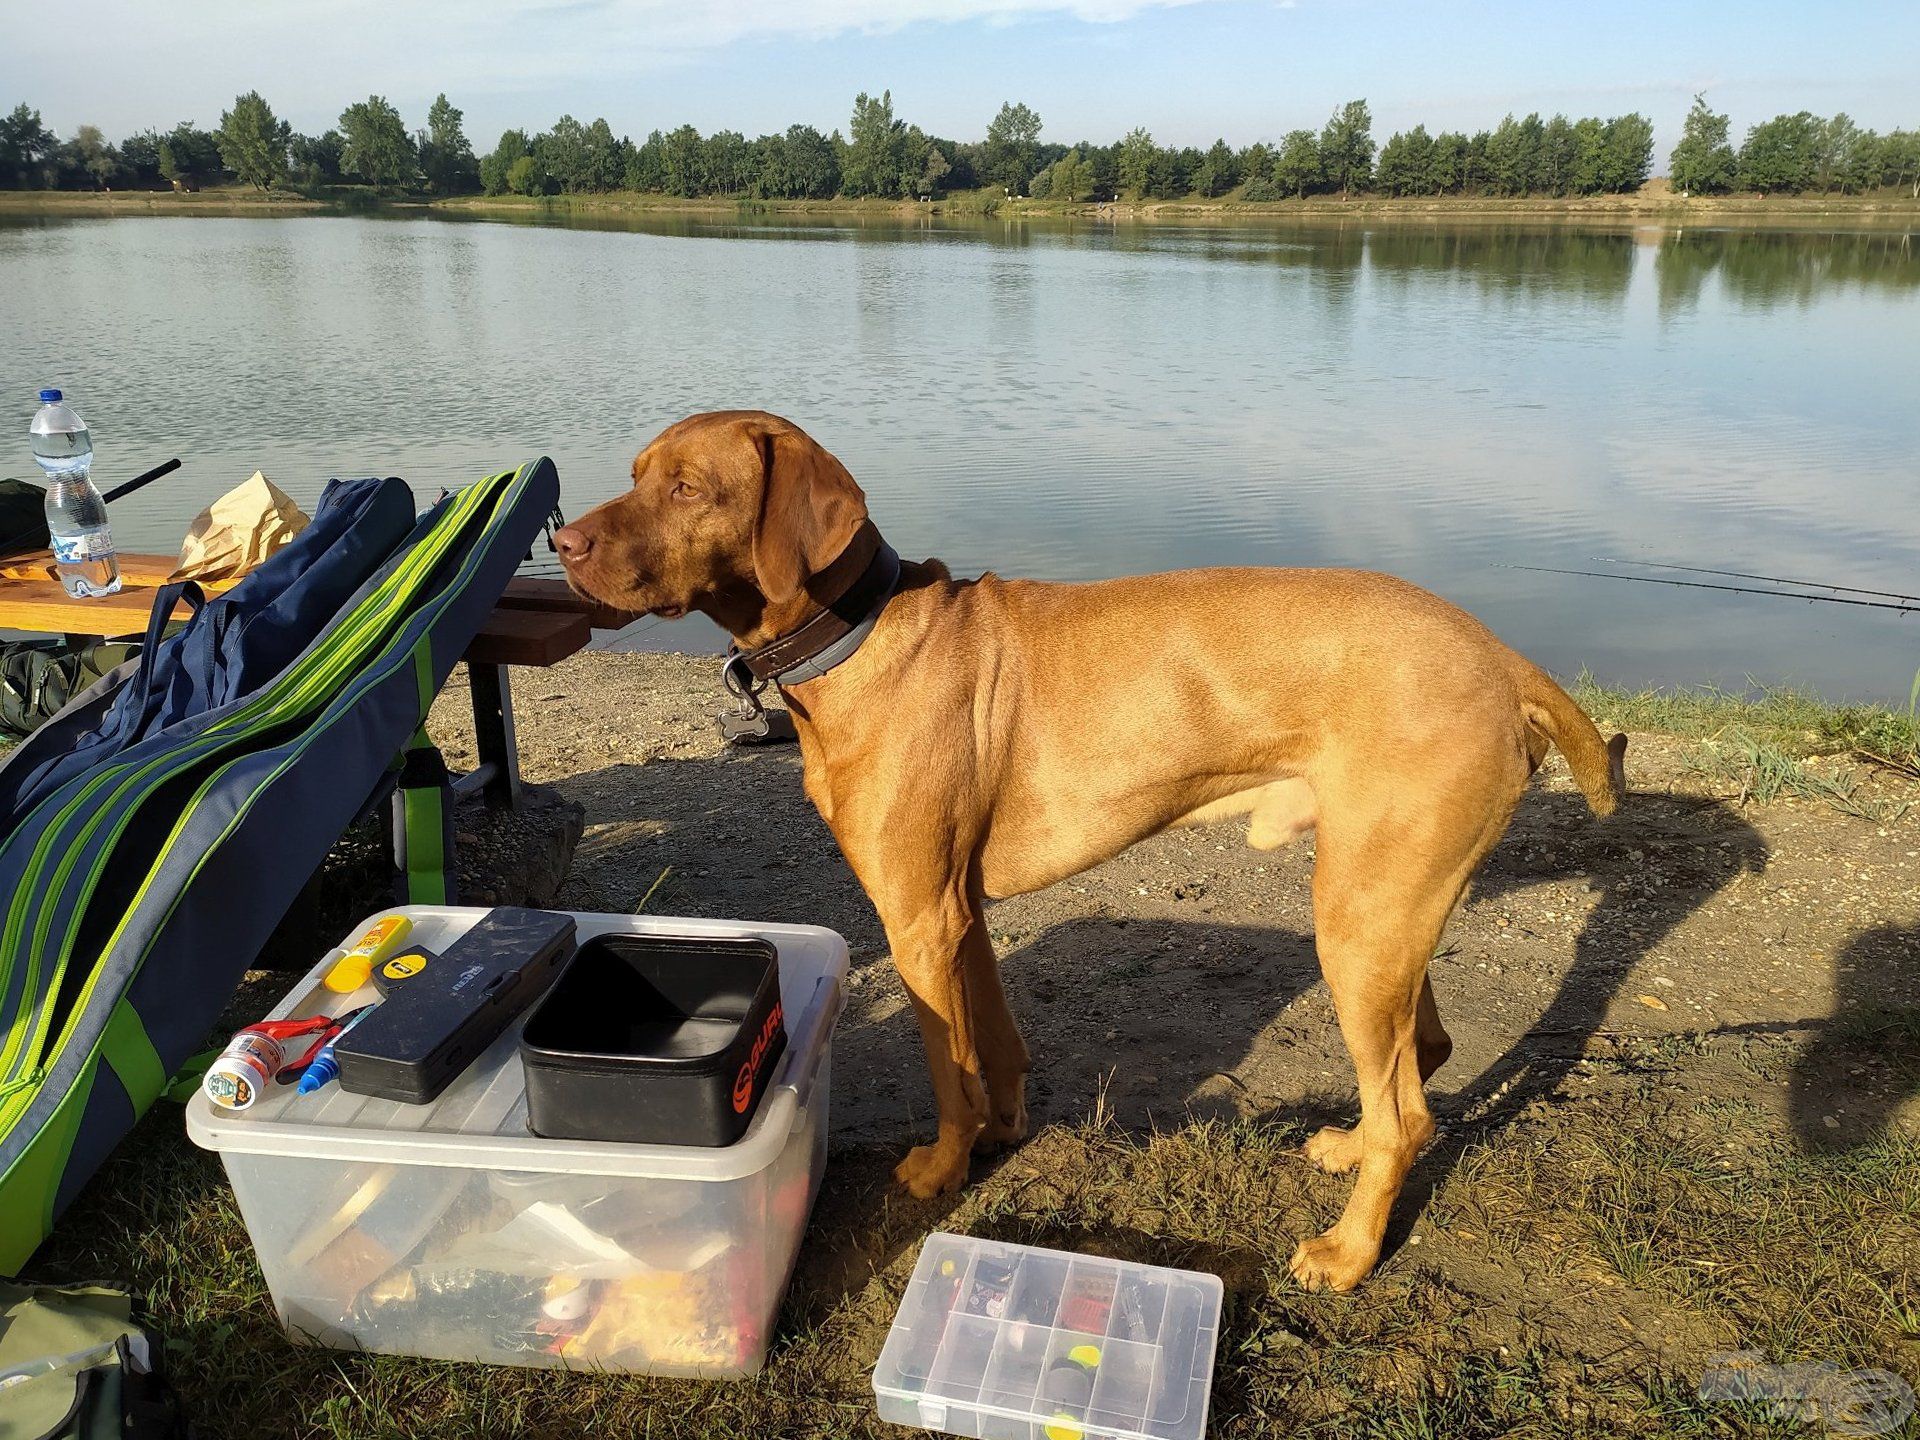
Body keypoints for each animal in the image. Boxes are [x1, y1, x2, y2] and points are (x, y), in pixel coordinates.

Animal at [556, 408, 1620, 1297]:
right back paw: (1352, 1150)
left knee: (1408, 1111)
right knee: (1418, 1064)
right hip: (1385, 901)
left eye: (688, 488)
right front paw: (1000, 1133)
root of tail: (1505, 659)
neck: (858, 639)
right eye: (637, 473)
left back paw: (1350, 1253)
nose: (560, 541)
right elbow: (992, 1044)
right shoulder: (959, 915)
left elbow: (944, 1064)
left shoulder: (915, 917)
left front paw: (941, 1168)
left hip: (1358, 918)